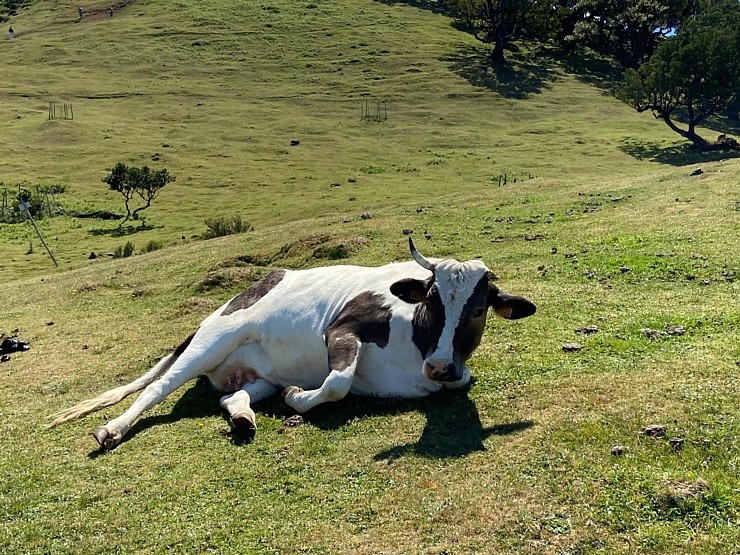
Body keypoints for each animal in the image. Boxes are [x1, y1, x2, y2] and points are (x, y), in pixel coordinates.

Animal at [53, 240, 536, 452]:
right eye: (433, 302)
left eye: (478, 310)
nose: (439, 367)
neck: (417, 346)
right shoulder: (343, 328)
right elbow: (338, 382)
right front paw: (298, 398)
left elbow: (462, 380)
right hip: (214, 340)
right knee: (157, 388)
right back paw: (113, 429)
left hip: (255, 373)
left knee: (233, 394)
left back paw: (244, 417)